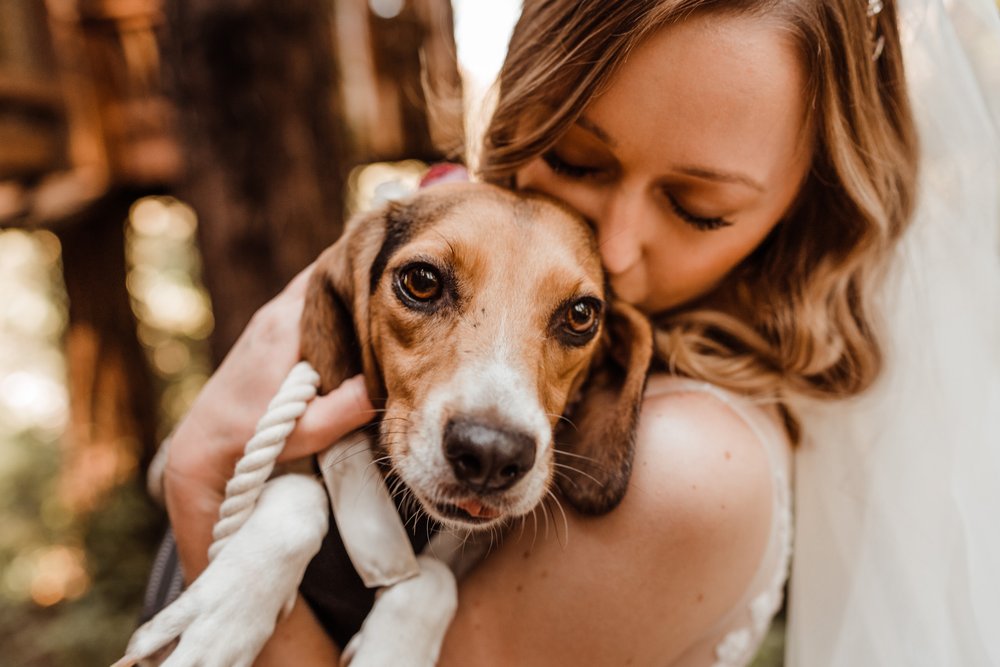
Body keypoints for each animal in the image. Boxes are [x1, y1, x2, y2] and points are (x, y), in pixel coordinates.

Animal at [121, 183, 656, 667]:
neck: (406, 519)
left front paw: (392, 647)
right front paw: (218, 620)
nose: (491, 452)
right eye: (421, 281)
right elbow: (300, 494)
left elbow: (433, 578)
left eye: (581, 314)